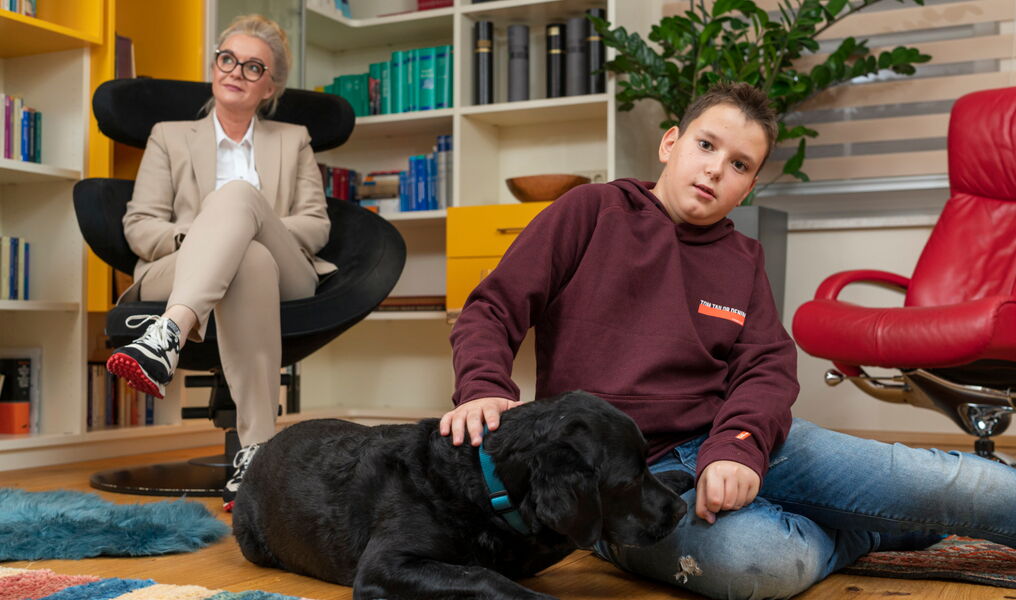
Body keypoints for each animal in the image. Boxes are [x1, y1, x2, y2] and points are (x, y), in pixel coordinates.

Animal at [232, 390, 693, 600]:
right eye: (627, 482)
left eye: (647, 462)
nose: (678, 511)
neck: (483, 484)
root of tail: (260, 448)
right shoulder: (384, 565)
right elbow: (481, 575)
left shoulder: (531, 544)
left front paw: (682, 477)